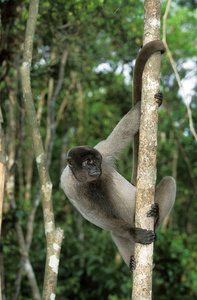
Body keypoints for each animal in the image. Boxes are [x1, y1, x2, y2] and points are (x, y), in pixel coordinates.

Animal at [60, 41, 176, 270]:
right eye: (87, 163)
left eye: (95, 161)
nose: (95, 169)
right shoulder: (67, 184)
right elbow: (92, 215)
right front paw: (132, 234)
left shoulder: (104, 151)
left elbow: (124, 130)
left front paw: (146, 104)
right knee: (115, 231)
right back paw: (131, 261)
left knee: (169, 180)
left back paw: (156, 219)